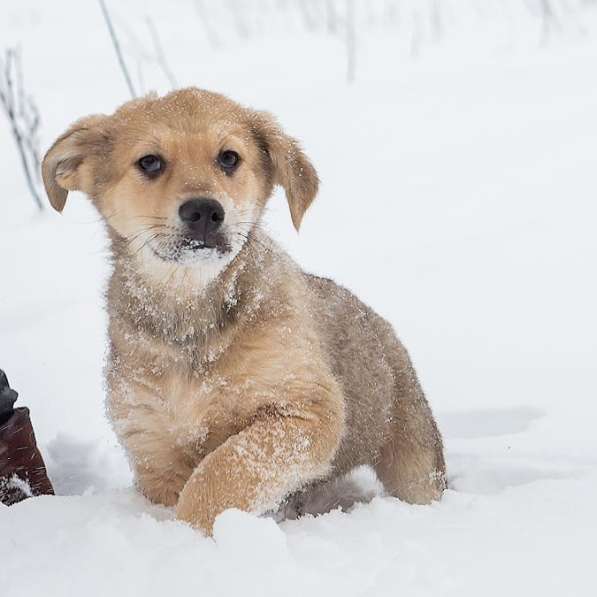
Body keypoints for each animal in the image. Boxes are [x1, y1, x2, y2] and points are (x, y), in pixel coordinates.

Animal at [42, 88, 444, 536]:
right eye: (149, 162)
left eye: (229, 158)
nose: (204, 210)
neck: (191, 326)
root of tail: (379, 323)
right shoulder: (152, 449)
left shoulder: (306, 412)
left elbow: (222, 470)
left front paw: (190, 535)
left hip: (414, 459)